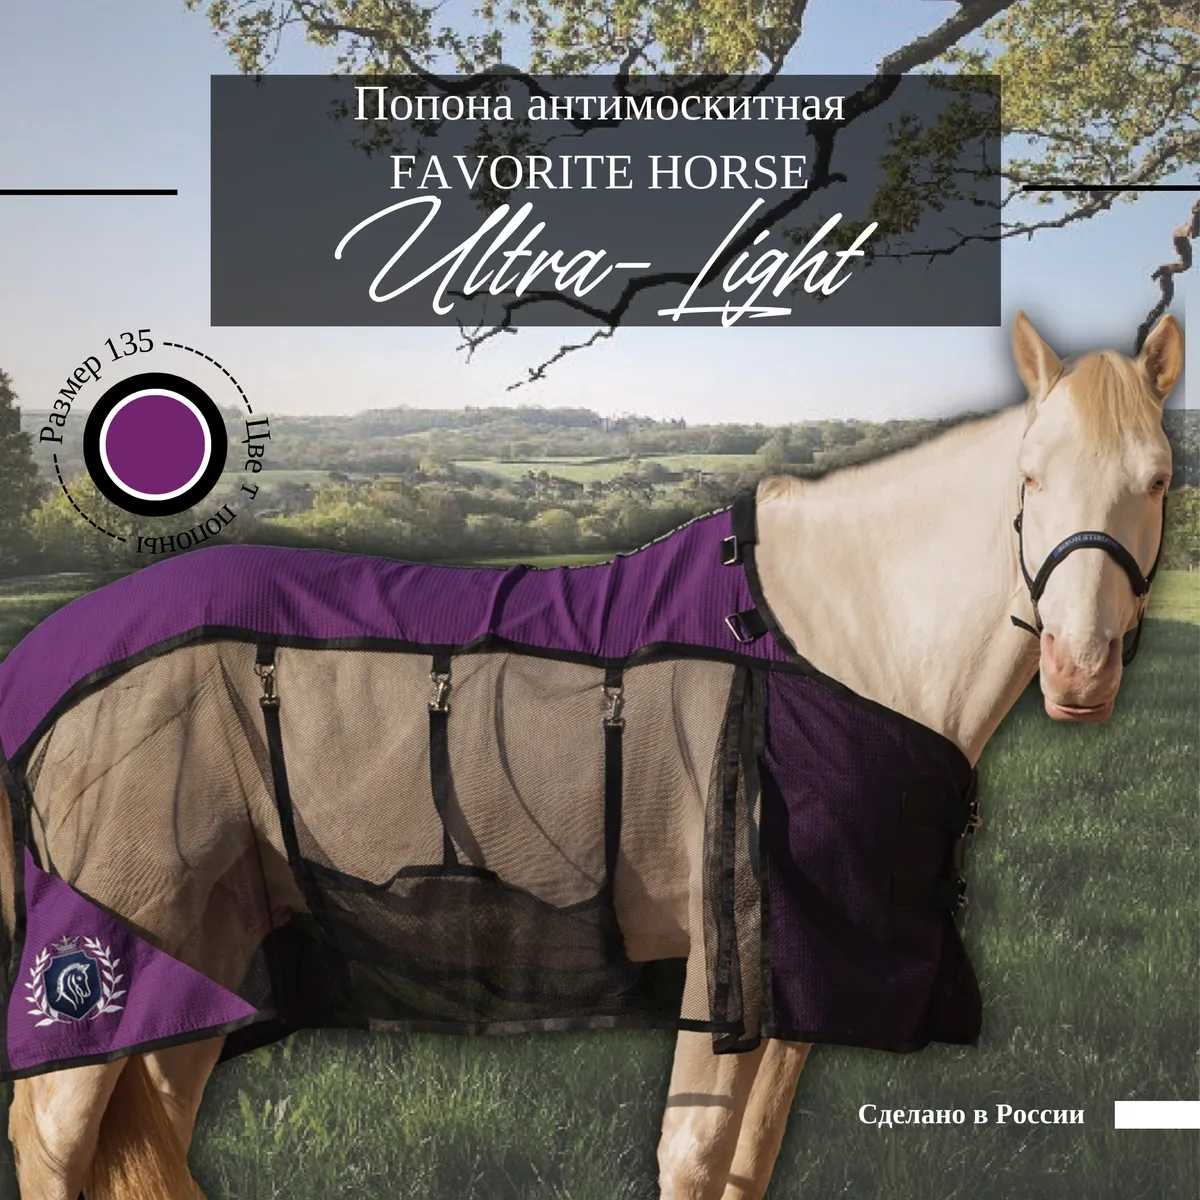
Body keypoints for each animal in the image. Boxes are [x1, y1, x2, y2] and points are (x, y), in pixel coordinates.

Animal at [0, 310, 1183, 1200]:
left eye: (1161, 479)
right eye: (1029, 477)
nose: (1081, 672)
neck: (821, 646)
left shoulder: (798, 987)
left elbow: (749, 1163)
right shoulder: (724, 980)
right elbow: (694, 1156)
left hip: (207, 941)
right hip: (116, 944)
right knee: (53, 1136)